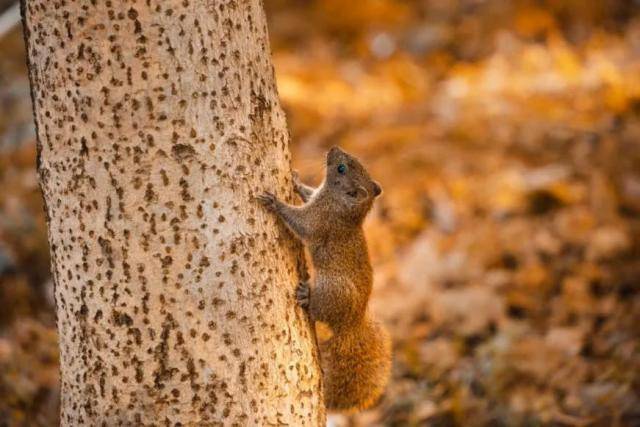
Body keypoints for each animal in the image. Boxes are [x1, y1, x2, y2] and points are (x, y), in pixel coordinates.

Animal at [258, 145, 392, 412]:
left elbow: (302, 224)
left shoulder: (321, 220)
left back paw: (305, 296)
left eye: (341, 168)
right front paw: (296, 181)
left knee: (318, 310)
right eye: (350, 162)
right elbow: (308, 193)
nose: (333, 149)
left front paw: (275, 202)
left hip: (331, 289)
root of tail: (350, 324)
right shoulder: (316, 200)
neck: (342, 206)